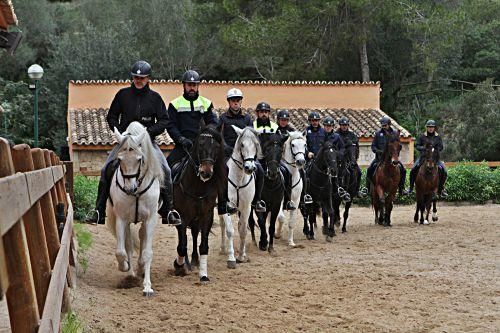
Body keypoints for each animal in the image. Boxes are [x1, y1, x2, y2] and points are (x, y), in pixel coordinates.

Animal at [106, 122, 164, 296]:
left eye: (139, 159)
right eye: (120, 159)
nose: (129, 189)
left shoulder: (151, 219)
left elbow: (147, 252)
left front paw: (147, 286)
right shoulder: (121, 219)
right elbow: (121, 251)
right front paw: (125, 267)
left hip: (145, 221)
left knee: (142, 238)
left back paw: (140, 269)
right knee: (130, 245)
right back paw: (131, 274)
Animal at [173, 123, 226, 282]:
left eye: (217, 146)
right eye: (201, 144)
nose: (206, 172)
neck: (197, 187)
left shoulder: (206, 215)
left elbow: (204, 245)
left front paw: (203, 275)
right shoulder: (182, 216)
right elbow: (182, 246)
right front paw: (179, 266)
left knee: (195, 233)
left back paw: (194, 260)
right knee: (183, 240)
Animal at [221, 124, 264, 268]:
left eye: (256, 144)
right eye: (242, 145)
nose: (249, 168)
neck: (239, 179)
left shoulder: (246, 208)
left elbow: (243, 230)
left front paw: (241, 256)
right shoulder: (226, 207)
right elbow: (230, 230)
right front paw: (231, 259)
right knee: (223, 226)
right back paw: (223, 249)